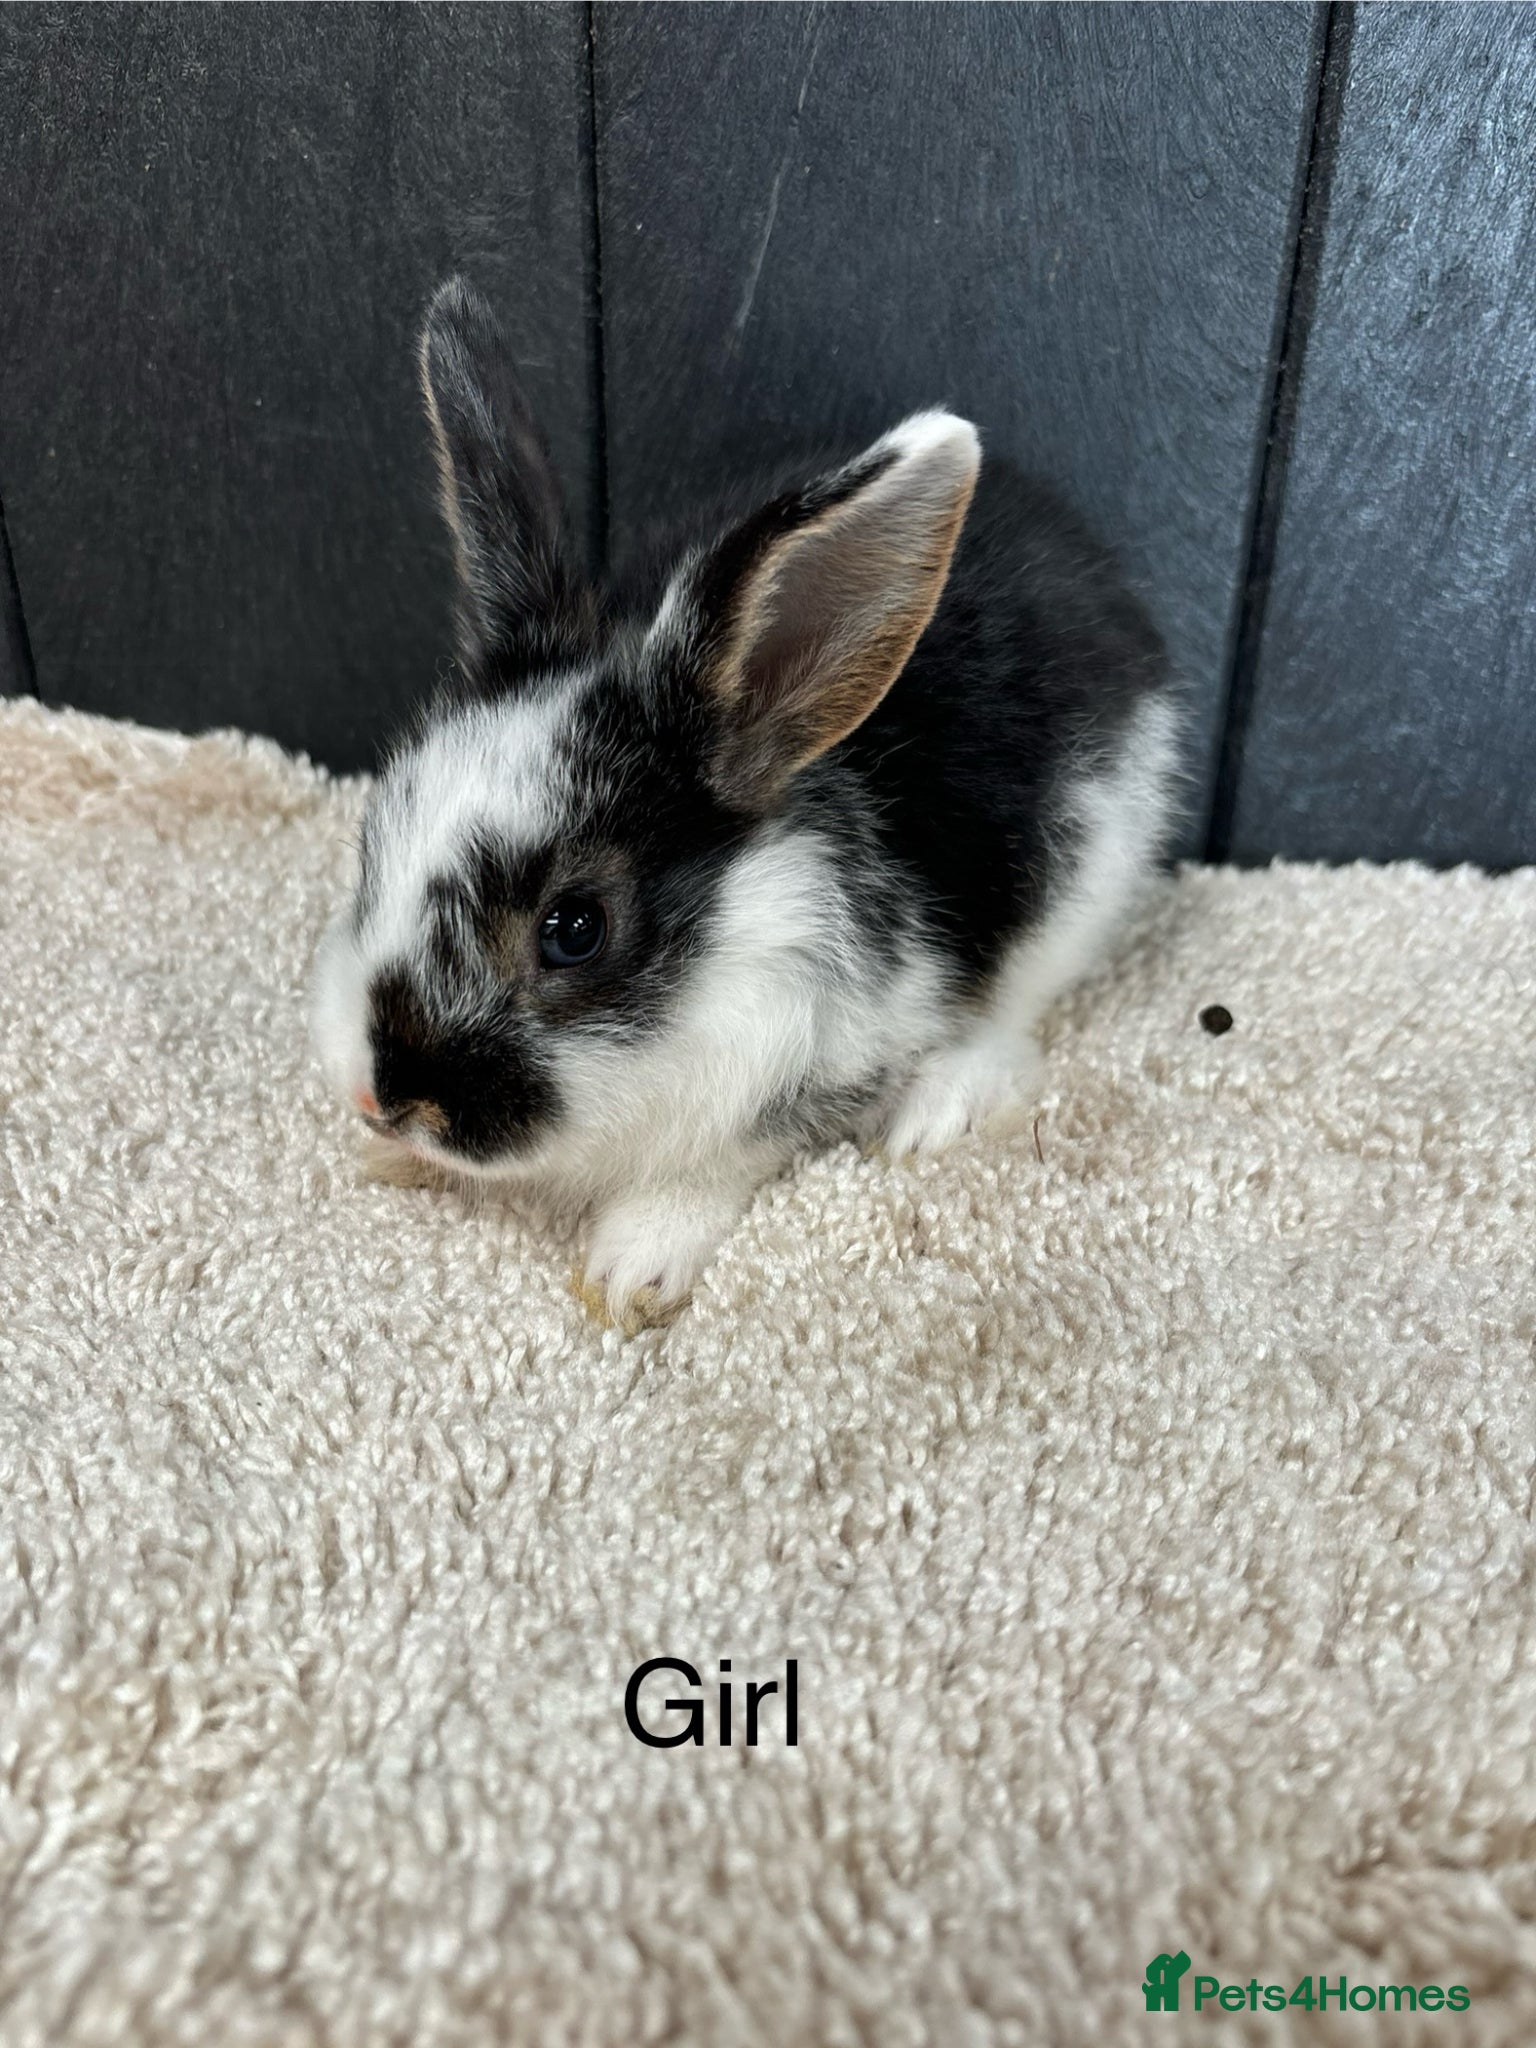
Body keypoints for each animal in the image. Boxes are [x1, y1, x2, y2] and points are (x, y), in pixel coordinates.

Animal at [310, 276, 1182, 1327]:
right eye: (374, 845)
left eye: (574, 929)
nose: (379, 1102)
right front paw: (389, 1162)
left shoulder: (811, 1068)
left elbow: (714, 1169)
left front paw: (630, 1270)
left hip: (1089, 875)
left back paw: (940, 1107)